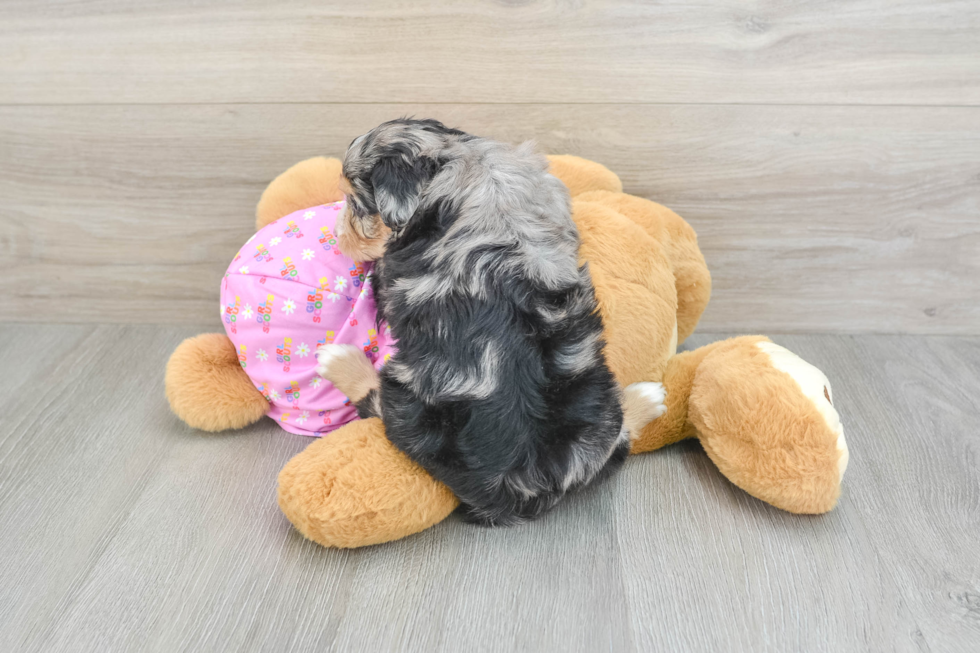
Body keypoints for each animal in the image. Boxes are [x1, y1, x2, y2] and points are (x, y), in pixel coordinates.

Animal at [320, 118, 668, 524]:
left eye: (357, 204)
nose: (338, 236)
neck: (459, 162)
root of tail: (522, 490)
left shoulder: (390, 277)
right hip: (598, 415)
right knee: (618, 439)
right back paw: (646, 398)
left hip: (407, 402)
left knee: (376, 401)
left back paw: (337, 360)